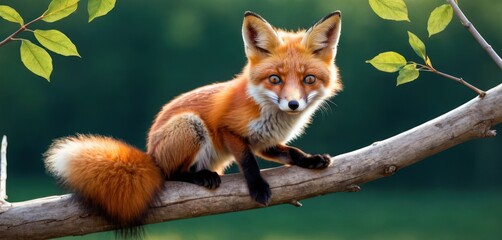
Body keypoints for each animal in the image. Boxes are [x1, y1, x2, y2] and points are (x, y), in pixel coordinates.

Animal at [44, 10, 342, 232]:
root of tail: (149, 154)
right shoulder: (229, 130)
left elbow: (291, 152)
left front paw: (311, 160)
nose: (293, 104)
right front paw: (258, 187)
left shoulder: (264, 141)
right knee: (170, 175)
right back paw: (200, 176)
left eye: (308, 79)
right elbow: (248, 163)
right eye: (275, 79)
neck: (268, 111)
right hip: (190, 126)